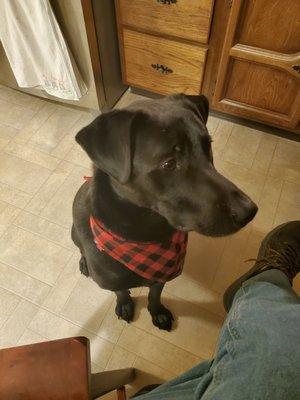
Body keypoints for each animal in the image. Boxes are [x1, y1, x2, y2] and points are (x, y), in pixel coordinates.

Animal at [71, 94, 256, 332]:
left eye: (208, 146)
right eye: (168, 163)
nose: (249, 211)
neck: (146, 235)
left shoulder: (162, 276)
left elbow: (155, 295)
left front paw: (157, 312)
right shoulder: (112, 280)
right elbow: (120, 291)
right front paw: (124, 304)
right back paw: (84, 262)